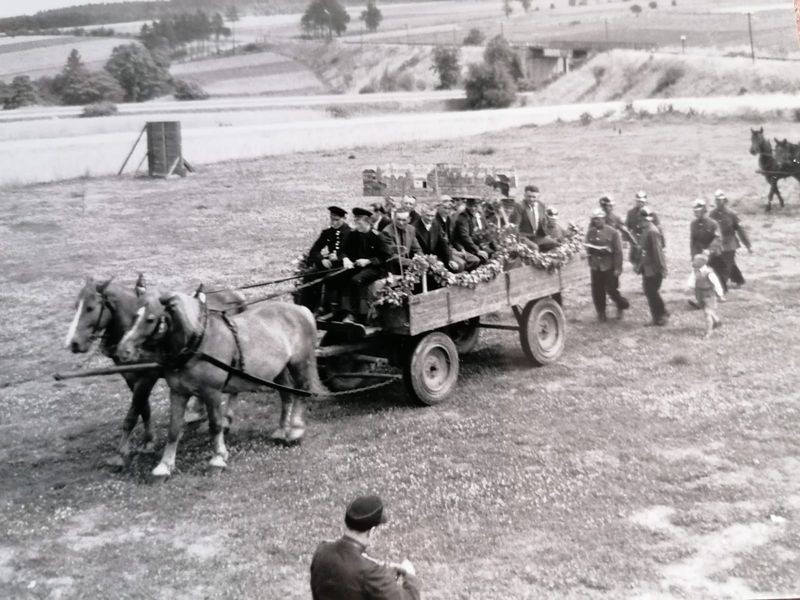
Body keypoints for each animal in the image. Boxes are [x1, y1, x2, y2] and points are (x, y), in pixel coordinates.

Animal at [65, 276, 244, 468]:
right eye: (76, 306)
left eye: (90, 308)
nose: (73, 343)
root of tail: (235, 294)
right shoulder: (131, 378)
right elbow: (144, 409)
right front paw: (149, 441)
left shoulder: (147, 377)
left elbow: (133, 414)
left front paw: (121, 453)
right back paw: (198, 410)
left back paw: (224, 418)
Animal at [115, 290, 322, 478]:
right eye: (134, 316)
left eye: (150, 319)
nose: (122, 351)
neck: (198, 343)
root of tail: (302, 310)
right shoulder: (178, 392)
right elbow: (173, 429)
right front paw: (164, 466)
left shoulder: (212, 392)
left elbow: (215, 425)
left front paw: (218, 458)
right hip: (279, 369)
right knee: (286, 394)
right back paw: (281, 430)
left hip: (299, 363)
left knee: (301, 391)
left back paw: (295, 431)